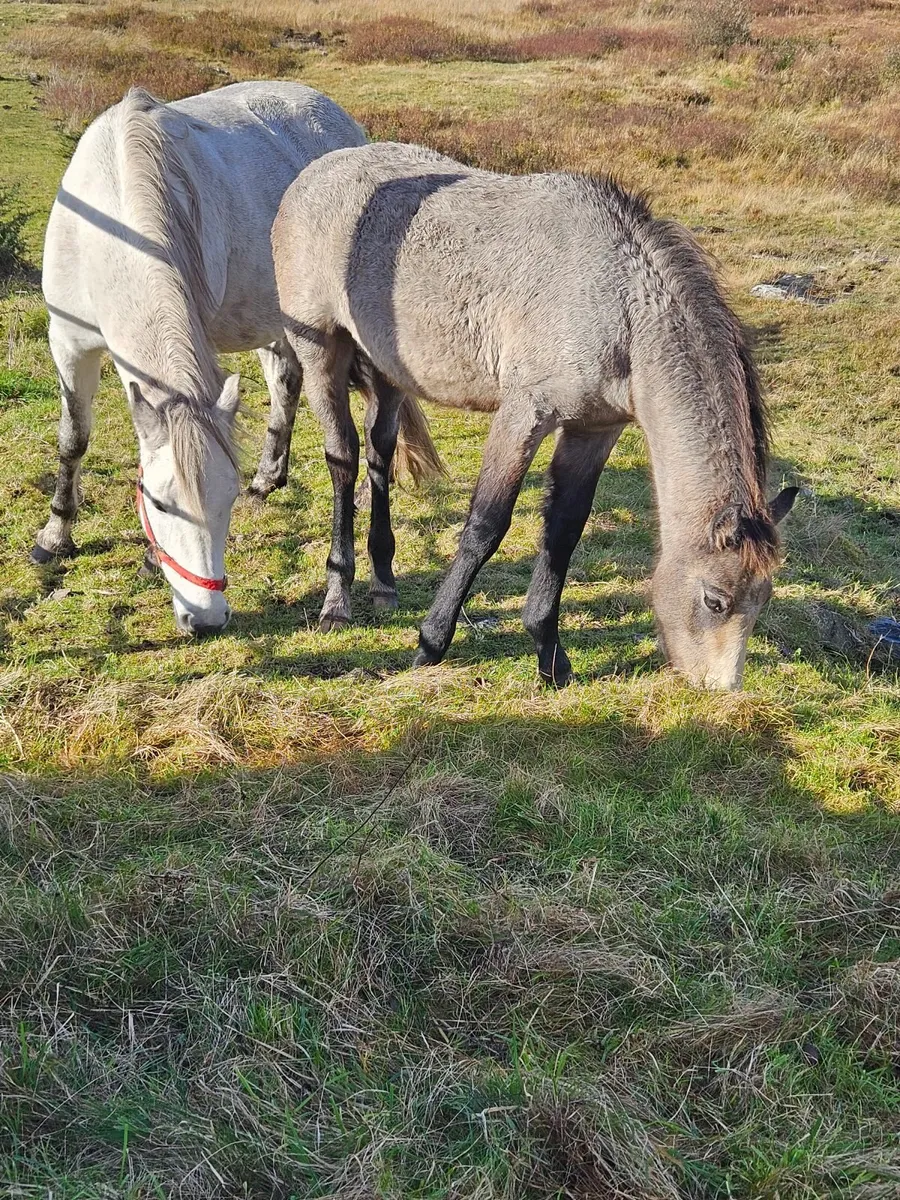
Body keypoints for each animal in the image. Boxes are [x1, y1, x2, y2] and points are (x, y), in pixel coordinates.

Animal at [35, 83, 441, 634]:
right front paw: (55, 535)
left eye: (222, 502)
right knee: (287, 385)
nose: (206, 619)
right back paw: (269, 477)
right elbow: (73, 440)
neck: (110, 220)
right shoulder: (69, 344)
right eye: (158, 503)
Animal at [271, 142, 798, 689]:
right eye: (715, 600)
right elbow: (485, 525)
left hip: (389, 371)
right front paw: (430, 644)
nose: (720, 688)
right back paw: (337, 601)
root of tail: (314, 171)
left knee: (379, 454)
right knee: (344, 458)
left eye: (762, 600)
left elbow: (564, 529)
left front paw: (550, 656)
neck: (620, 307)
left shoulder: (594, 429)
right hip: (320, 349)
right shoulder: (524, 413)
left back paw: (383, 583)